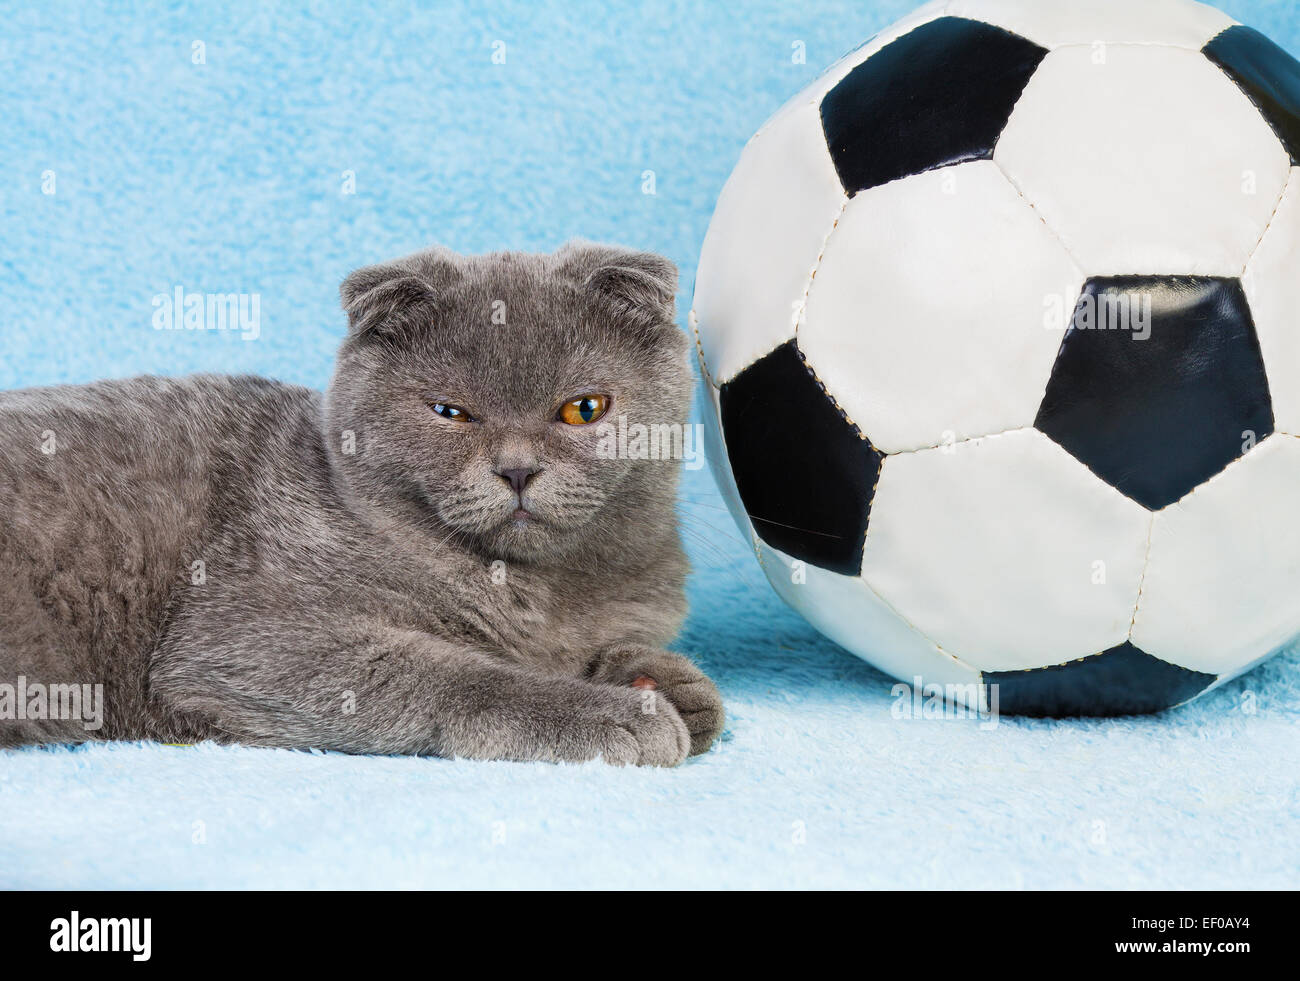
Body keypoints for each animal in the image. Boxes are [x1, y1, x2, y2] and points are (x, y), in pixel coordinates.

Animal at [0, 241, 722, 764]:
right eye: (450, 412)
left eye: (583, 409)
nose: (517, 469)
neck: (539, 592)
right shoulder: (248, 635)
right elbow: (454, 673)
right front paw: (615, 712)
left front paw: (664, 681)